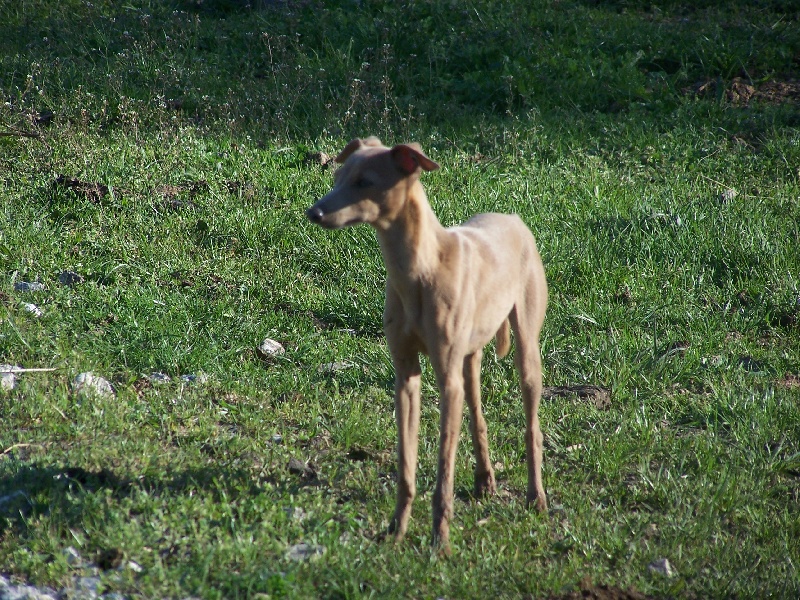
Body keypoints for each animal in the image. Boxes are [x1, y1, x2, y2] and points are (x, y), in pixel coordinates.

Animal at [306, 138, 552, 556]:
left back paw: (536, 498)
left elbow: (443, 472)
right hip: (470, 359)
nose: (314, 211)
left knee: (531, 427)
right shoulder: (406, 376)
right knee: (478, 414)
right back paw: (485, 480)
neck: (419, 270)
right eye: (338, 176)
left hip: (525, 350)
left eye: (364, 182)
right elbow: (406, 464)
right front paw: (396, 531)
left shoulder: (446, 381)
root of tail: (513, 217)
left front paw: (441, 540)